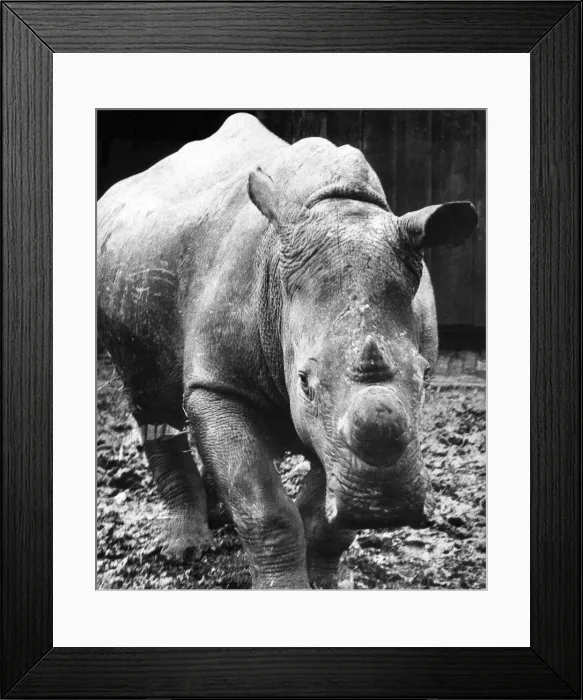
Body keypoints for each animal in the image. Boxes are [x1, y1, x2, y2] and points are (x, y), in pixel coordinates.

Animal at [97, 112, 477, 589]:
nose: (384, 507)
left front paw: (326, 583)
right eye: (304, 383)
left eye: (426, 376)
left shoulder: (337, 429)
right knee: (152, 404)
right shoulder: (220, 385)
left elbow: (324, 515)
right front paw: (285, 588)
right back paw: (184, 549)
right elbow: (265, 506)